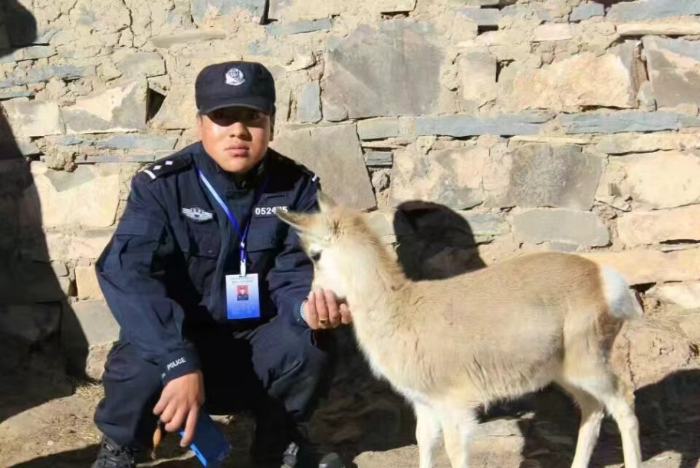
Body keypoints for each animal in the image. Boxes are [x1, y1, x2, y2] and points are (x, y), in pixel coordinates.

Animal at [277, 193, 643, 468]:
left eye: (315, 255)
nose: (312, 299)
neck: (403, 307)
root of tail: (605, 279)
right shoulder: (423, 403)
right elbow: (424, 444)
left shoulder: (455, 405)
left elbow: (454, 452)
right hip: (566, 372)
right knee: (594, 409)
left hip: (589, 364)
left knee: (624, 402)